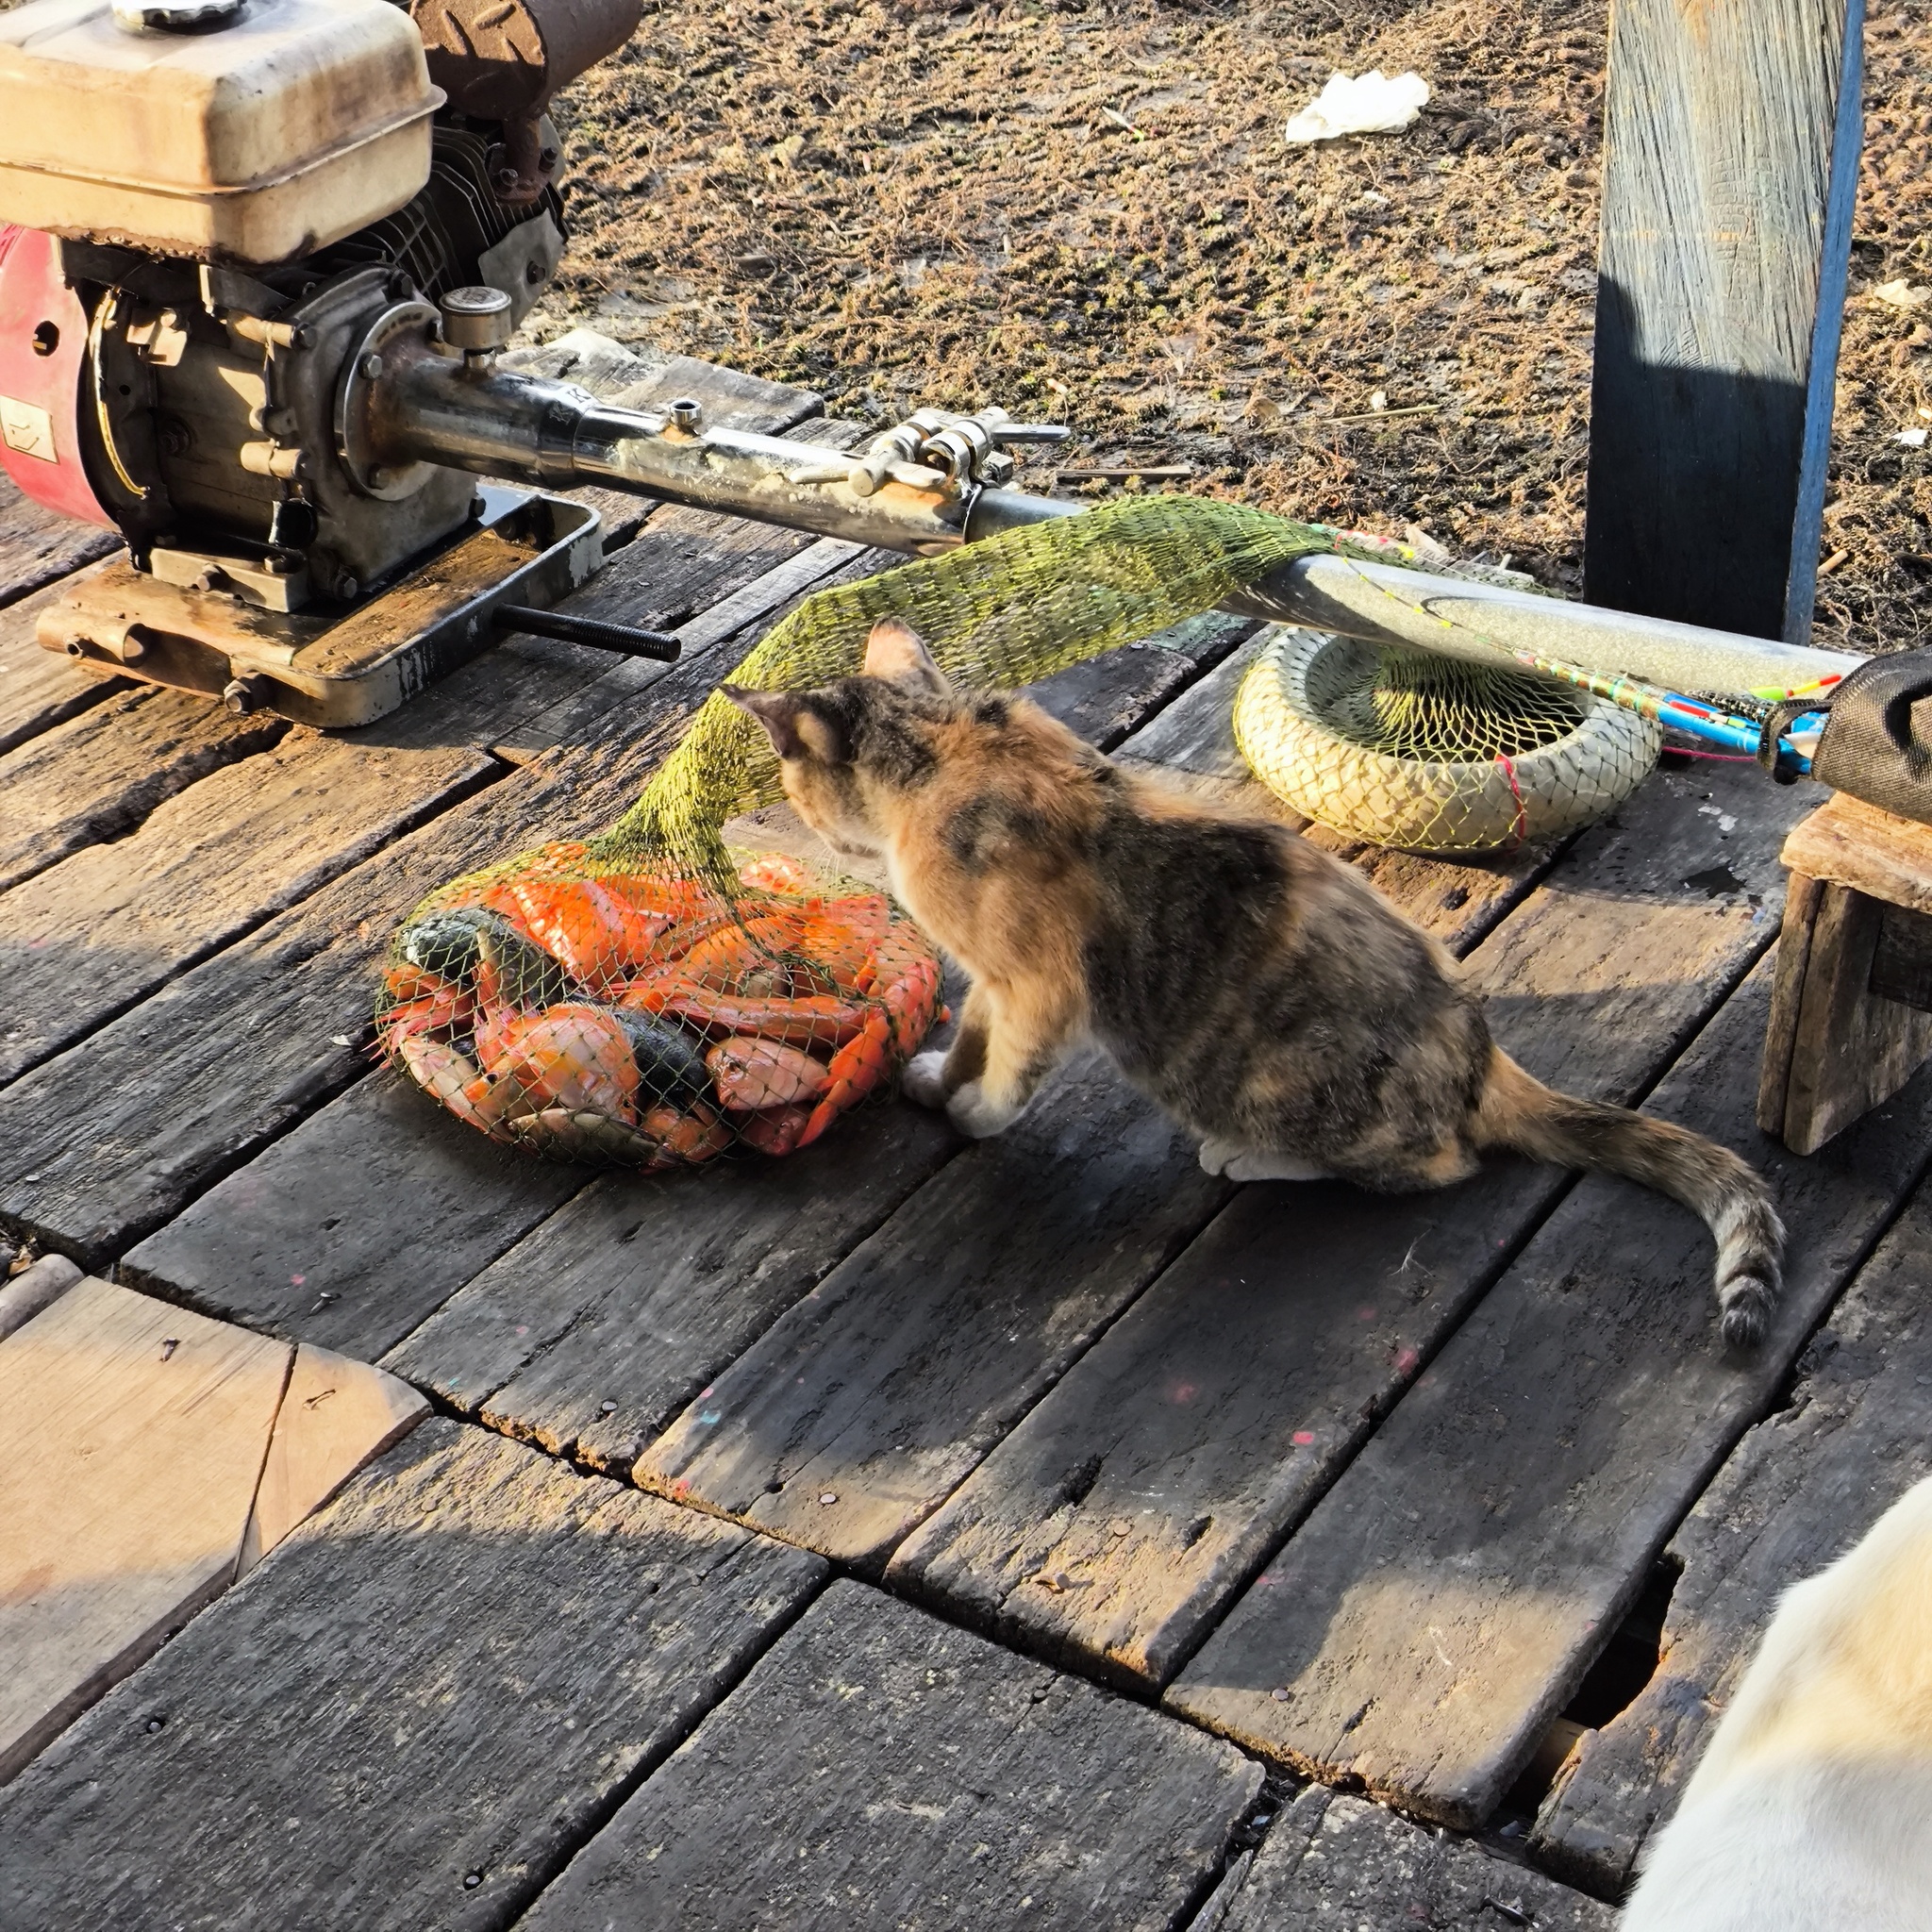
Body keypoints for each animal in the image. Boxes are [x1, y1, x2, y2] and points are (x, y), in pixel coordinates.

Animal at [730, 618, 1785, 1344]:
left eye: (786, 779)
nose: (802, 814)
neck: (946, 742)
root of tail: (1481, 1050)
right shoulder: (987, 976)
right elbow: (971, 1039)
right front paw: (936, 1076)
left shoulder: (1036, 984)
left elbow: (1006, 1070)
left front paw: (973, 1112)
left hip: (1285, 1086)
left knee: (1434, 1164)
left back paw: (1246, 1156)